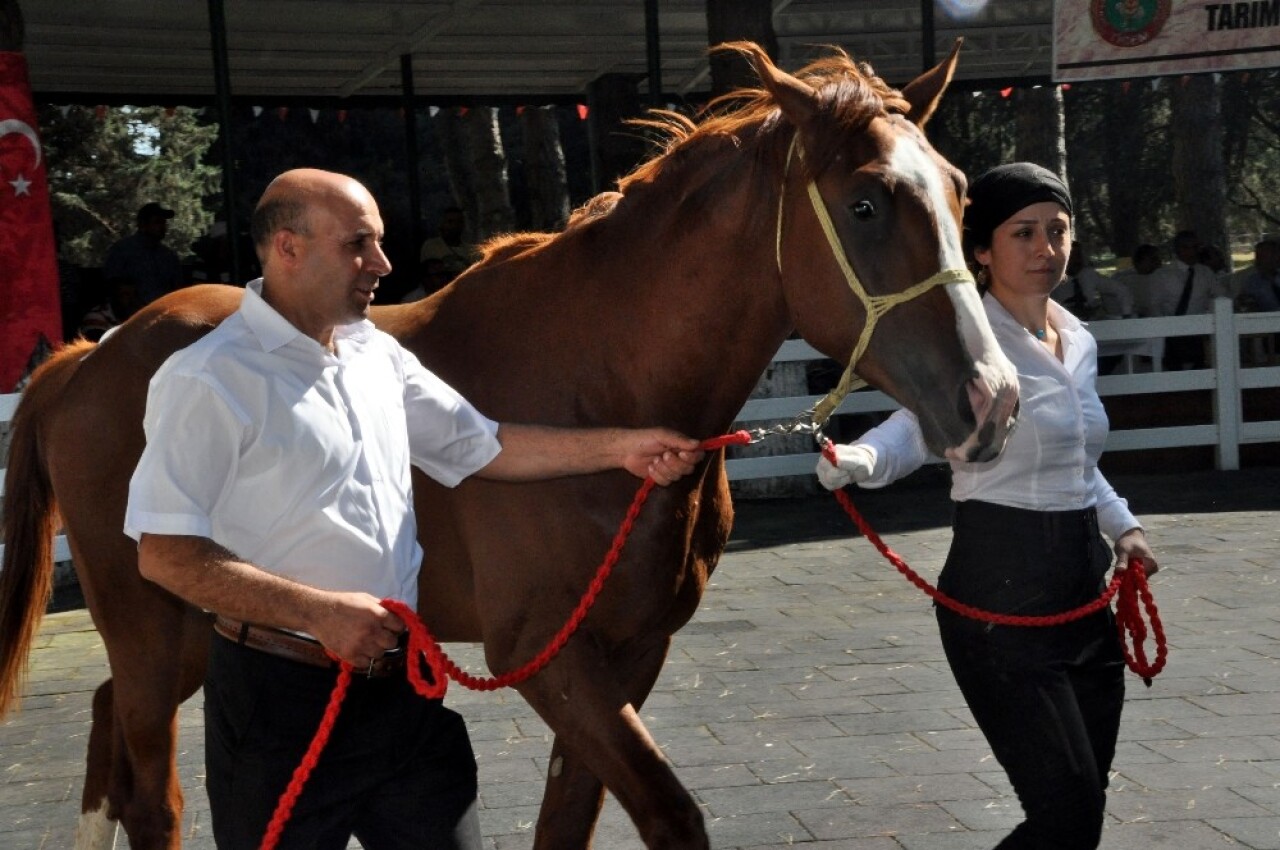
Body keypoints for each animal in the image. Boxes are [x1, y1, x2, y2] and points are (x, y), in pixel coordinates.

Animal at [2, 43, 1018, 844]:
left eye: (960, 191)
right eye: (865, 205)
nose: (993, 400)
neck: (599, 375)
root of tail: (90, 358)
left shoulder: (625, 652)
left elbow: (569, 819)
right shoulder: (544, 652)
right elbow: (669, 814)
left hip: (180, 642)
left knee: (107, 727)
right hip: (153, 627)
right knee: (153, 795)